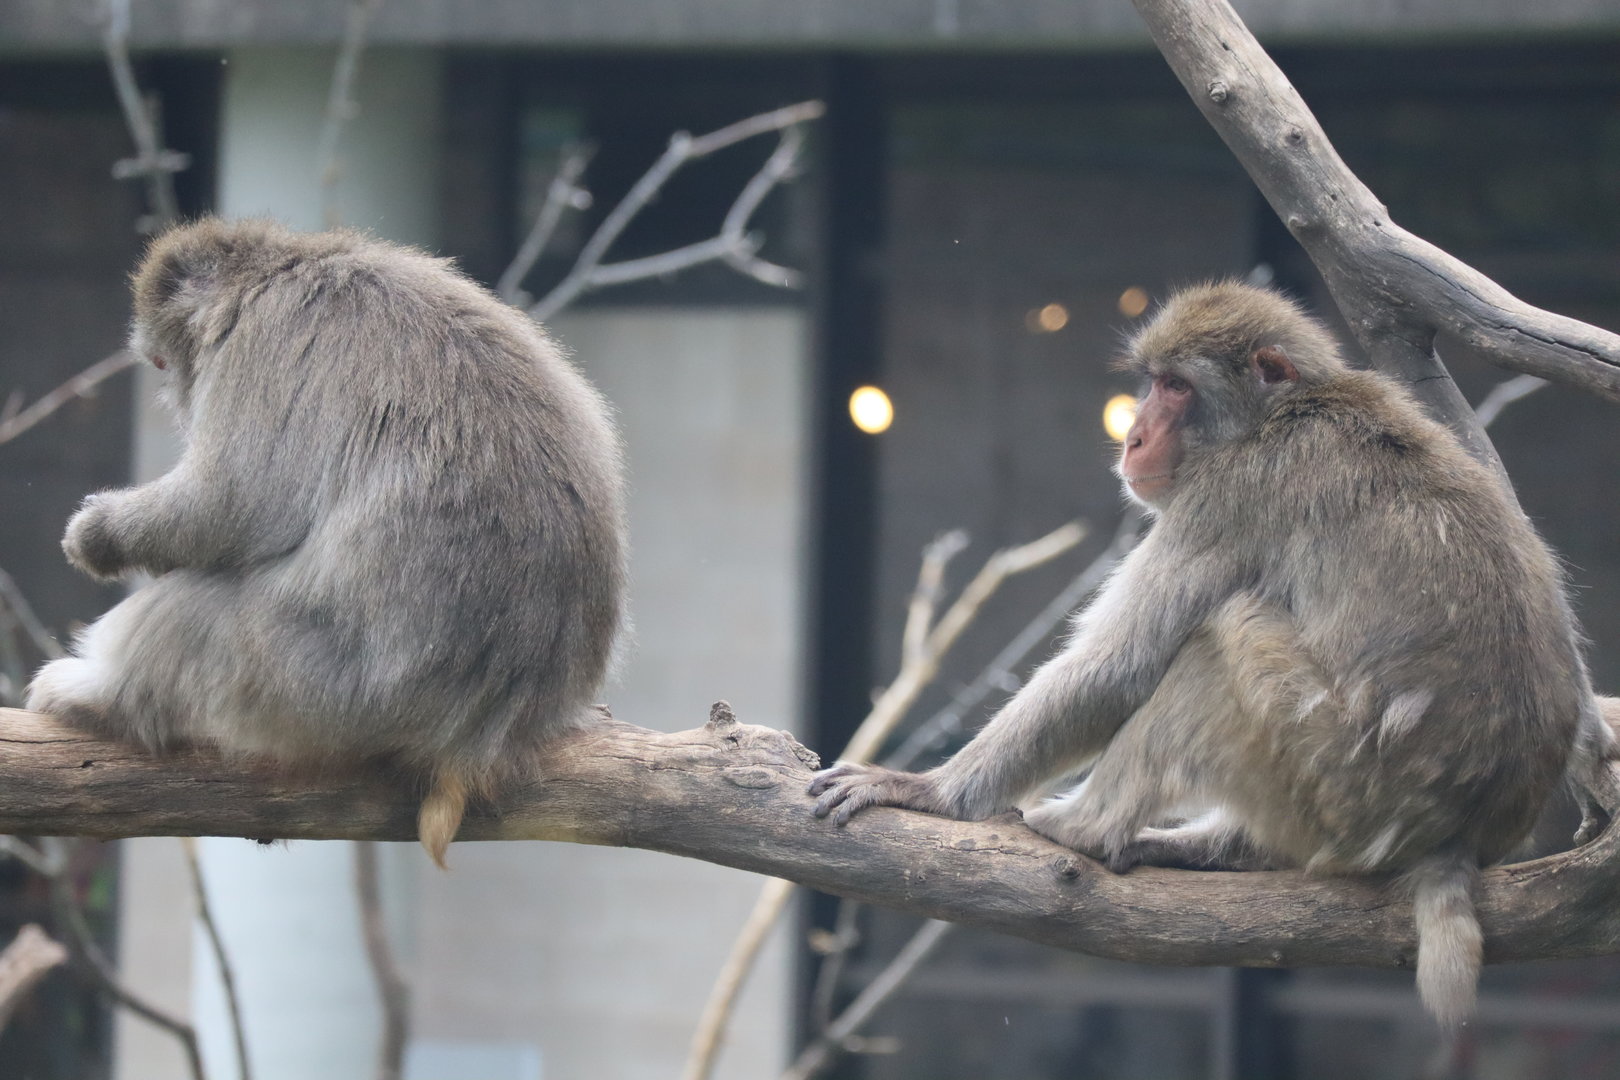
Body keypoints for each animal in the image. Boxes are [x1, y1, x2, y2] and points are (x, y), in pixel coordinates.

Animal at [26, 217, 628, 867]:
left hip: (322, 689)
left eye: (162, 360)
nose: (172, 397)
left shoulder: (263, 339)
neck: (277, 271)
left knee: (194, 612)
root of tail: (489, 734)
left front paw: (98, 535)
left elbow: (233, 501)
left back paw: (99, 700)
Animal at [810, 281, 1612, 1028]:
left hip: (1341, 778)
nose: (1133, 437)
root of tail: (1462, 836)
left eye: (1176, 387)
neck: (1287, 410)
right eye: (1152, 382)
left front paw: (930, 791)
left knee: (1219, 639)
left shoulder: (1229, 494)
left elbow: (1121, 666)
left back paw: (1086, 826)